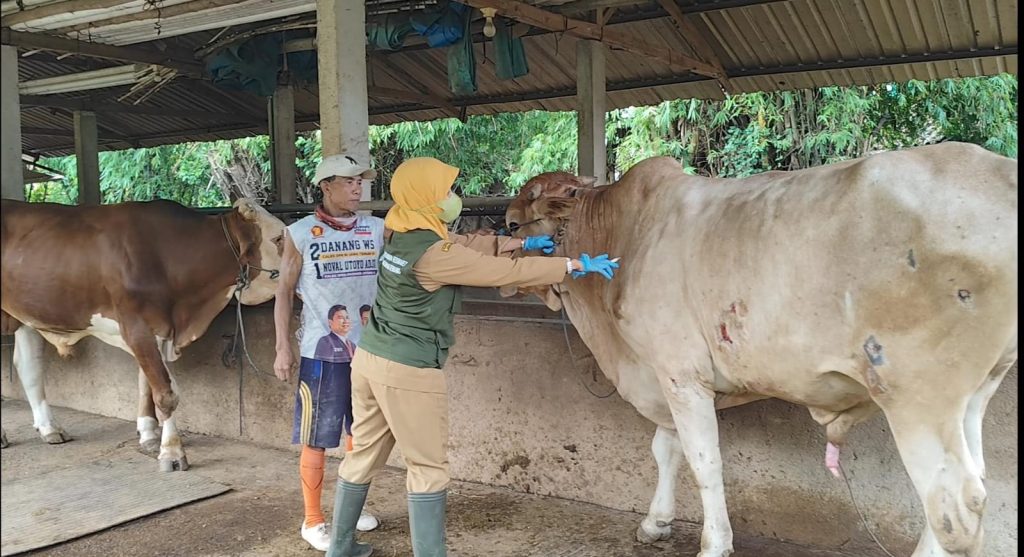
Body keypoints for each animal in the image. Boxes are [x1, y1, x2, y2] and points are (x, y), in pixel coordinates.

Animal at [1, 198, 284, 470]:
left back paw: (50, 428)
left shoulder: (157, 331)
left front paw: (148, 434)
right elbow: (166, 393)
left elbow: (145, 384)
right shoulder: (138, 328)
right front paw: (171, 452)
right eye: (279, 238)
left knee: (29, 367)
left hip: (25, 317)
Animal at [501, 141, 1015, 552]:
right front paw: (655, 523)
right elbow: (665, 448)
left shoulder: (679, 371)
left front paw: (714, 543)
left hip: (917, 396)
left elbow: (703, 462)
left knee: (954, 506)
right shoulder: (664, 375)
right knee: (973, 485)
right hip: (976, 392)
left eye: (510, 224)